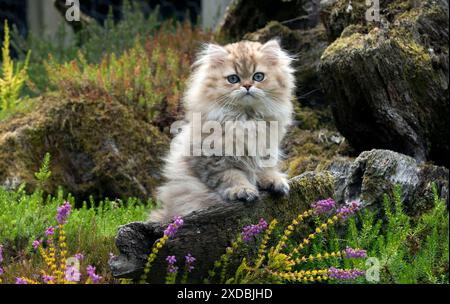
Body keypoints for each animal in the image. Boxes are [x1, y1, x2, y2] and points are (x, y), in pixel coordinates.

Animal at [149, 39, 298, 222]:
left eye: (258, 76)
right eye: (233, 79)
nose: (247, 86)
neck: (246, 119)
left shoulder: (265, 149)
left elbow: (265, 169)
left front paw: (275, 181)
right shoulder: (215, 160)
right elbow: (232, 177)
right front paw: (243, 190)